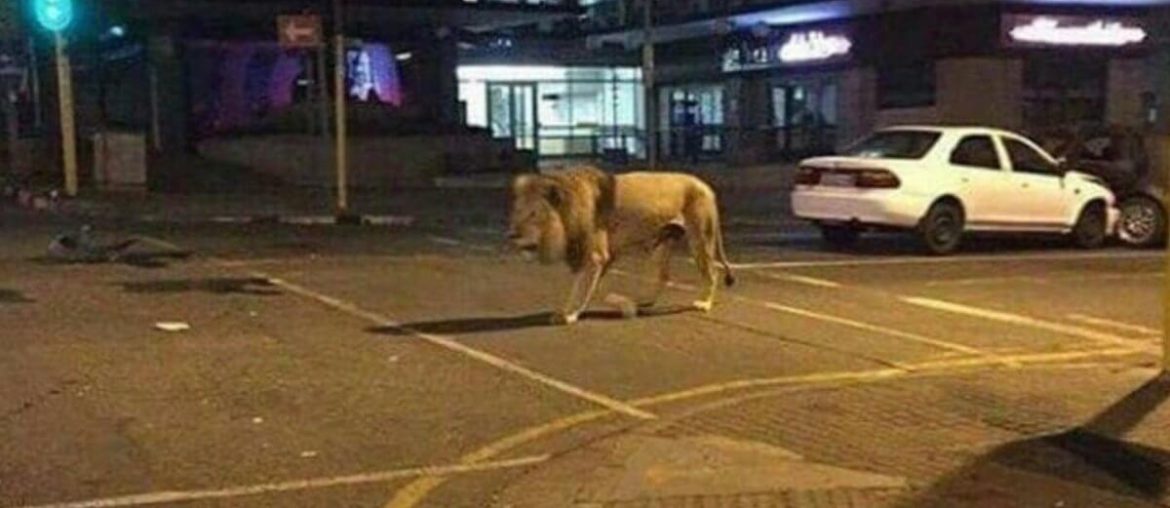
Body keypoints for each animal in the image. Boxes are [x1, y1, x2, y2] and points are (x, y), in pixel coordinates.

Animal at [507, 166, 734, 325]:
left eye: (533, 214)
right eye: (517, 212)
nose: (512, 235)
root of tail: (706, 187)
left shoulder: (596, 257)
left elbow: (583, 288)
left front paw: (570, 314)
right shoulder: (595, 257)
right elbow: (586, 288)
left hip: (700, 239)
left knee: (712, 272)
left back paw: (704, 303)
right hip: (661, 245)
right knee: (664, 276)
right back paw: (645, 301)